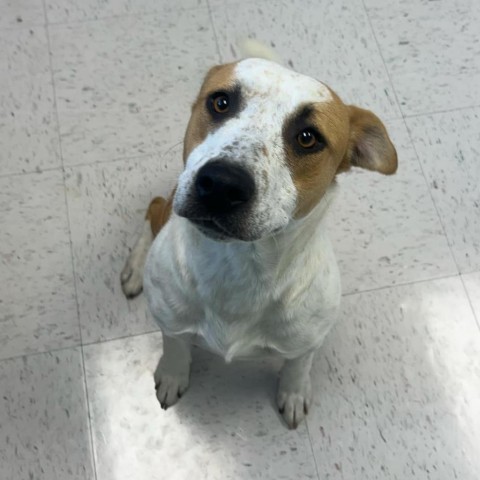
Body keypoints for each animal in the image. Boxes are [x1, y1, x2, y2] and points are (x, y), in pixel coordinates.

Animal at [120, 44, 398, 428]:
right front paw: (173, 374)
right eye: (221, 102)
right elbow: (175, 348)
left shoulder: (308, 341)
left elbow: (298, 366)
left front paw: (293, 393)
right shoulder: (171, 323)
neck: (239, 269)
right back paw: (134, 270)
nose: (222, 184)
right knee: (154, 206)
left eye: (308, 137)